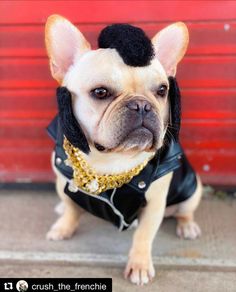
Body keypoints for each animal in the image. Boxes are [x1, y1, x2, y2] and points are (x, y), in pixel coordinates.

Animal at [45, 15, 202, 286]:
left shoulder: (154, 204)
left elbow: (144, 236)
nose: (142, 105)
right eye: (100, 92)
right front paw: (64, 226)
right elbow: (72, 209)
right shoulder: (63, 181)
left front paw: (139, 265)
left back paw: (187, 226)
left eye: (162, 90)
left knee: (185, 211)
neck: (111, 160)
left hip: (193, 189)